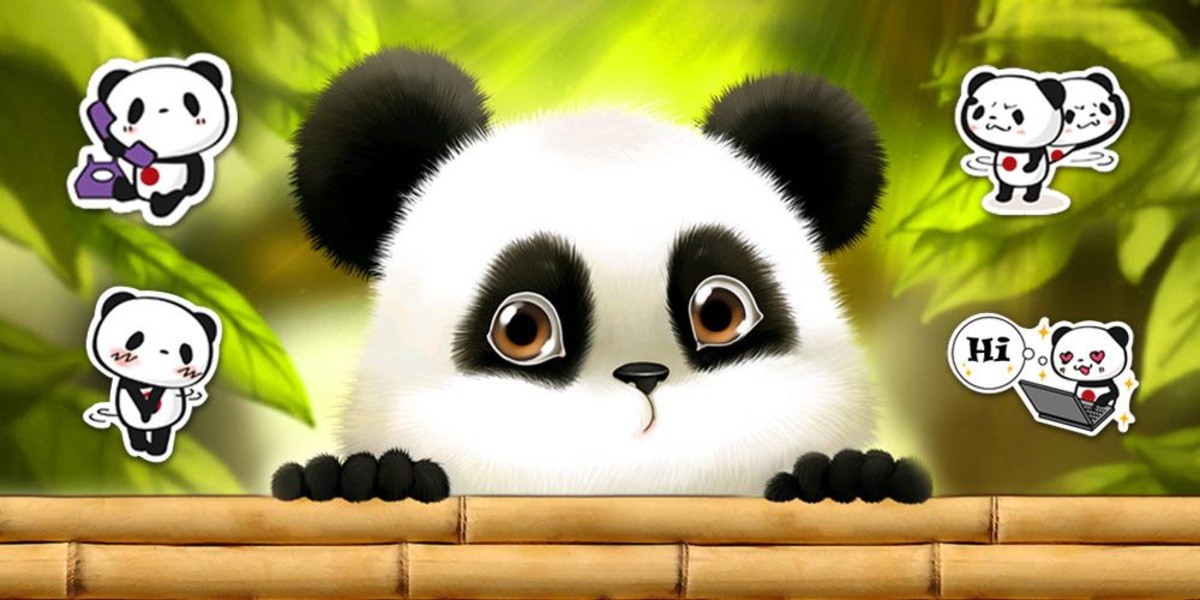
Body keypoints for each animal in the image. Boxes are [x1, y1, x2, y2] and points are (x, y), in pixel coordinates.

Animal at [956, 67, 1066, 203]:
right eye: (979, 111)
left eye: (1017, 113)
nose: (993, 116)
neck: (1015, 149)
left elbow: (1036, 155)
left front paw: (1028, 167)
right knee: (1005, 186)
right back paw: (1003, 198)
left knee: (1034, 186)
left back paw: (1030, 198)